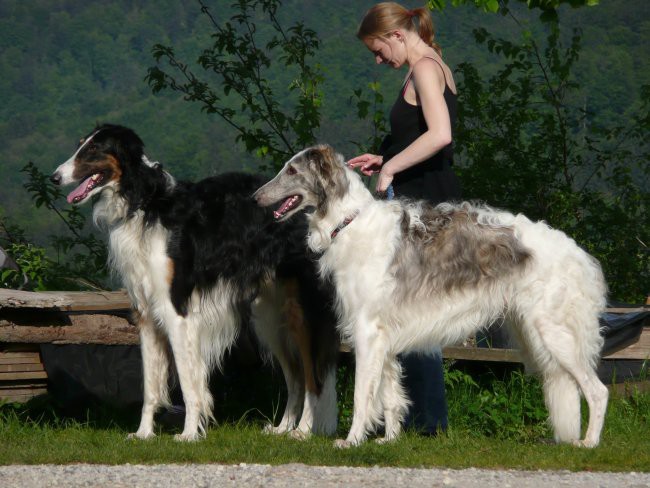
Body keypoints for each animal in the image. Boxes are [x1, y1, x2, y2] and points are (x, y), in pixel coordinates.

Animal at [49, 124, 340, 440]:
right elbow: (151, 388)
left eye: (93, 148)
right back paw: (283, 428)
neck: (145, 204)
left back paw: (303, 431)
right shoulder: (146, 316)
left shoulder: (177, 313)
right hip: (269, 318)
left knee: (313, 379)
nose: (55, 177)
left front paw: (189, 434)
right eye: (80, 144)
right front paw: (143, 434)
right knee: (296, 377)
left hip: (301, 315)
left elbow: (189, 385)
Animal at [253, 146, 608, 450]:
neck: (349, 222)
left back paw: (589, 443)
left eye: (292, 170)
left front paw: (352, 440)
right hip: (534, 333)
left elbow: (361, 396)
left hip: (553, 334)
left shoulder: (366, 332)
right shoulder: (384, 338)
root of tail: (578, 254)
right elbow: (390, 396)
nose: (255, 198)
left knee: (598, 390)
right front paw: (388, 440)